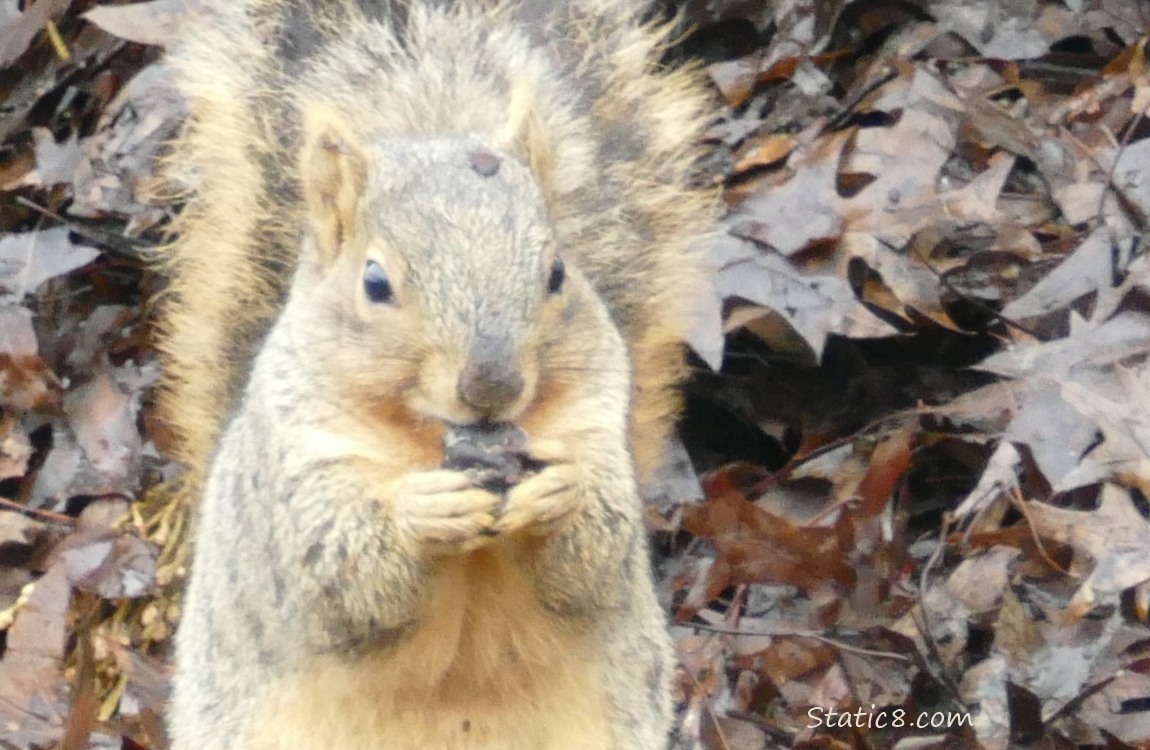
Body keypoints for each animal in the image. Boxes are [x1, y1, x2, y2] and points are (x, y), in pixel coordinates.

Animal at [159, 1, 717, 750]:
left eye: (557, 272)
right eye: (375, 283)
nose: (491, 387)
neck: (431, 437)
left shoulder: (599, 421)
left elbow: (597, 553)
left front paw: (561, 492)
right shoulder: (298, 467)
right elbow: (338, 573)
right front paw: (423, 513)